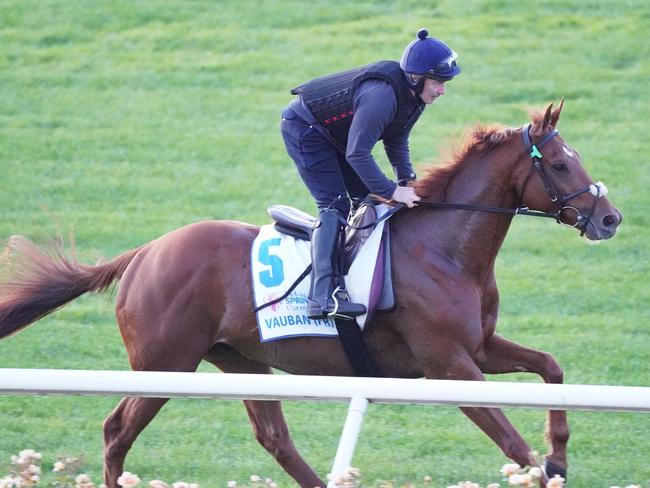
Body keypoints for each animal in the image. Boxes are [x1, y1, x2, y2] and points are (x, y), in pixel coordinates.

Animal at [0, 101, 620, 486]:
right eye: (561, 163)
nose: (610, 218)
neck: (445, 246)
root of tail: (144, 253)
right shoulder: (448, 364)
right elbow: (513, 444)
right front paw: (544, 466)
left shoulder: (481, 347)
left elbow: (552, 368)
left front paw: (559, 457)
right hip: (163, 364)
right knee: (115, 432)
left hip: (241, 361)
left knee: (274, 438)